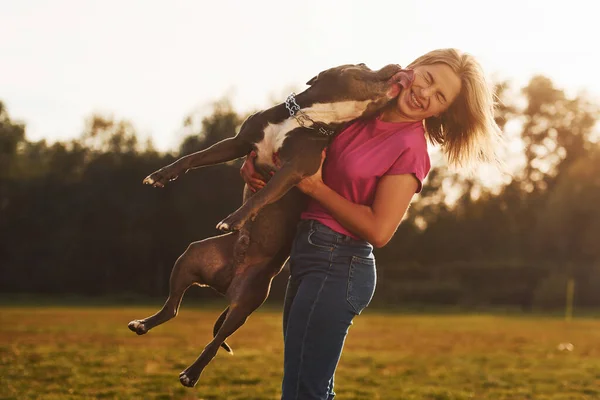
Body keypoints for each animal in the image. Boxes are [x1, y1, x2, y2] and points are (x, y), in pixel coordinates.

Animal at [127, 63, 412, 388]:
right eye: (363, 66)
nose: (397, 65)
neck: (309, 118)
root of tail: (225, 281)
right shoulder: (238, 143)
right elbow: (194, 157)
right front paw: (161, 174)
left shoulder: (293, 169)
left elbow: (261, 195)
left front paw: (233, 219)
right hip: (190, 257)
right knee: (172, 309)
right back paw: (143, 324)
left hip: (247, 300)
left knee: (214, 340)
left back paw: (192, 373)